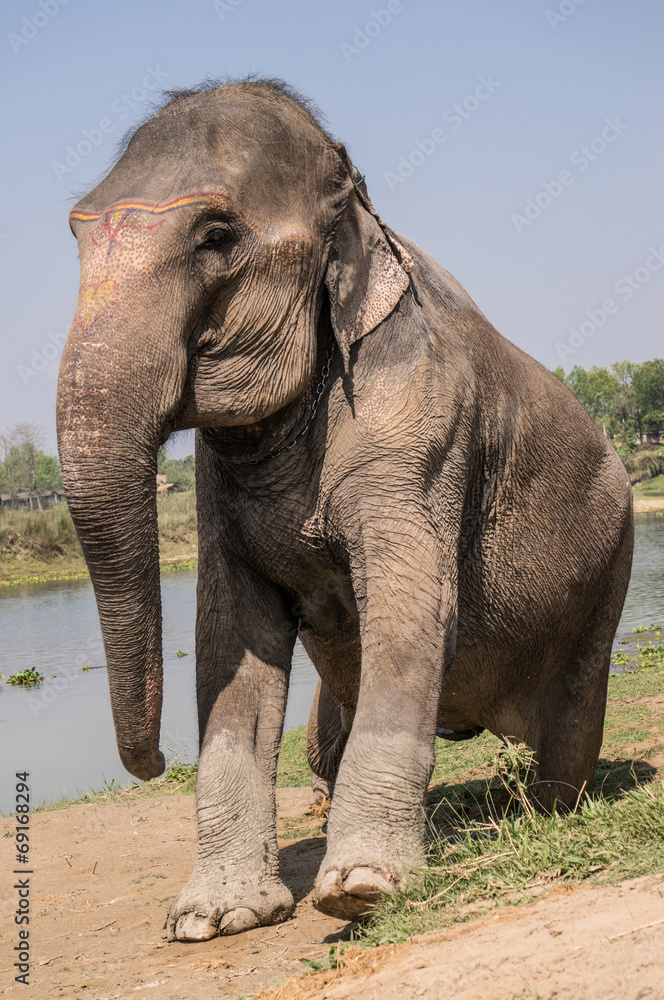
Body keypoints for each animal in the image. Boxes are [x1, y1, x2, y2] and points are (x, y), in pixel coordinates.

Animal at [57, 78, 633, 939]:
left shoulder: (421, 427)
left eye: (217, 236)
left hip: (609, 573)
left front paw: (361, 890)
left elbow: (411, 606)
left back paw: (538, 812)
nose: (153, 763)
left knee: (569, 726)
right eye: (75, 233)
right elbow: (233, 637)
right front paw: (212, 919)